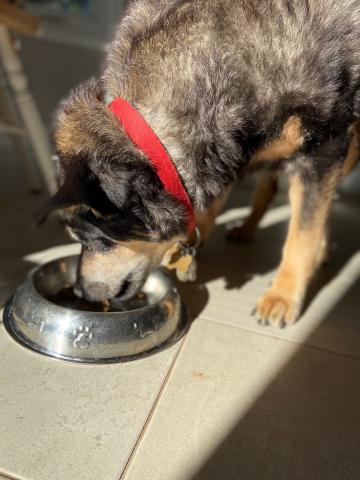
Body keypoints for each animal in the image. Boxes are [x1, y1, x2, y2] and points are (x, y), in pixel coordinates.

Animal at [40, 0, 358, 326]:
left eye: (98, 240)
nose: (79, 291)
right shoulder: (229, 147)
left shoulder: (325, 148)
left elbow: (302, 234)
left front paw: (283, 295)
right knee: (267, 188)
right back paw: (246, 229)